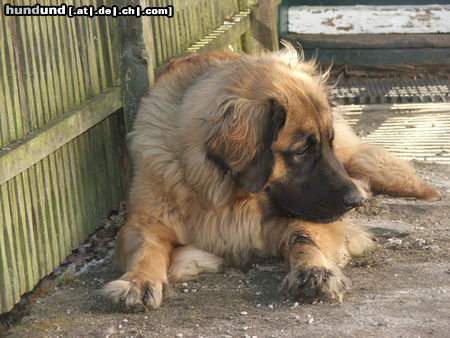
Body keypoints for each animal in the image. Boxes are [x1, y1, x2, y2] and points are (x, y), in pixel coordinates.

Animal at [103, 43, 440, 310]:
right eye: (302, 151)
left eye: (326, 144)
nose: (353, 202)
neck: (223, 196)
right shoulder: (143, 222)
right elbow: (146, 249)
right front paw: (138, 281)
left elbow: (305, 237)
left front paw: (315, 271)